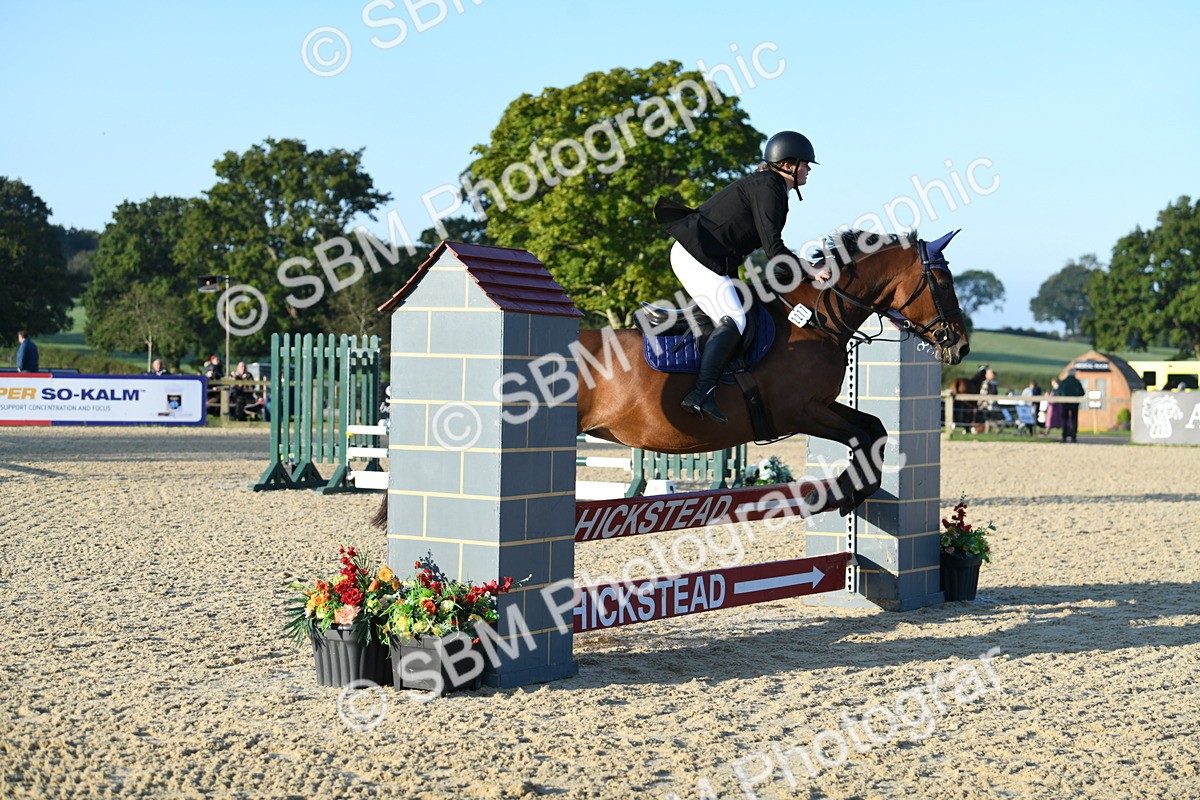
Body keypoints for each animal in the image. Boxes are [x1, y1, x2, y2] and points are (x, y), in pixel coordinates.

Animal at [575, 229, 971, 515]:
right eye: (944, 283)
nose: (961, 345)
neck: (813, 320)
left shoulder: (821, 403)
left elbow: (875, 429)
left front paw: (850, 494)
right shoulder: (797, 412)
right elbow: (862, 435)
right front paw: (835, 496)